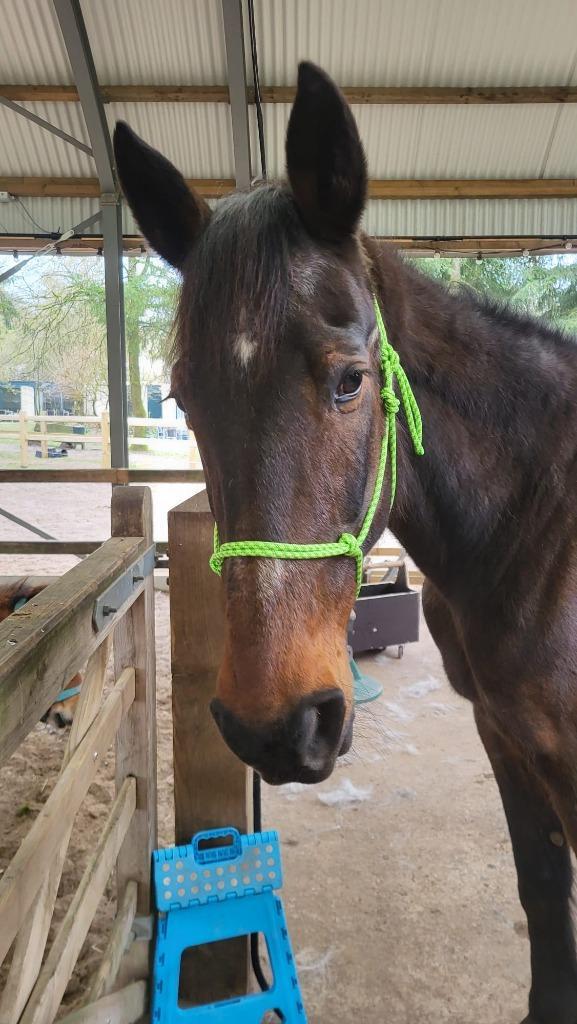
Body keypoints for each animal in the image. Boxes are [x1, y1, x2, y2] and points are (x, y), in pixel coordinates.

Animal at [114, 62, 577, 1024]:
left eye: (350, 380)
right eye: (179, 397)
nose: (275, 727)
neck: (545, 527)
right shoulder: (511, 741)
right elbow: (542, 900)